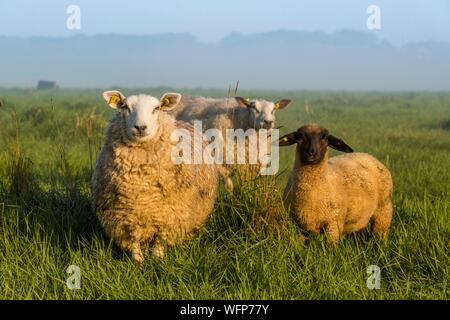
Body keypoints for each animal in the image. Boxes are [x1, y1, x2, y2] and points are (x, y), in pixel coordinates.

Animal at [91, 90, 232, 264]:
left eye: (156, 108)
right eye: (125, 107)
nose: (140, 127)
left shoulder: (170, 216)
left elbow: (159, 243)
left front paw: (158, 261)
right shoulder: (124, 218)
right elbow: (134, 243)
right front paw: (138, 263)